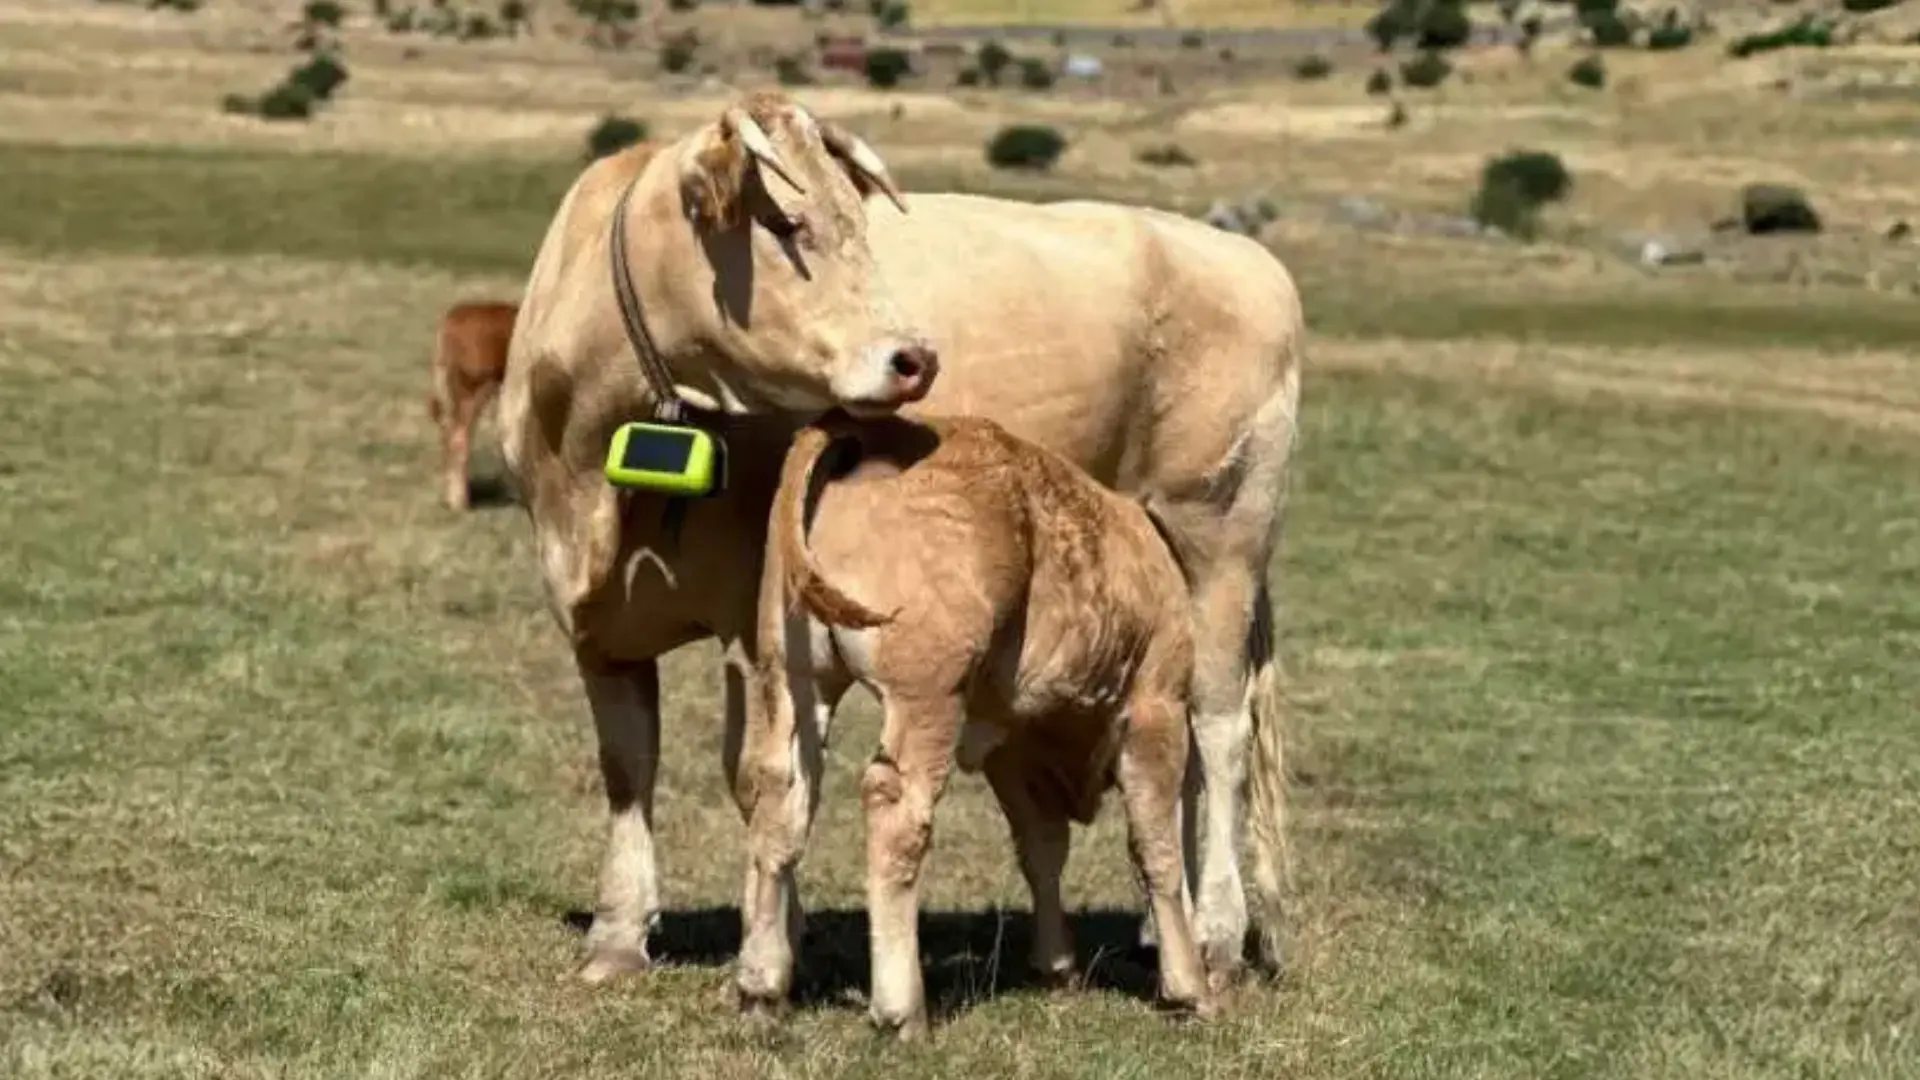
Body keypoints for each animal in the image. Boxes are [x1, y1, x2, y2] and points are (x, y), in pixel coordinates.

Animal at [736, 411, 1214, 1036]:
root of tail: (866, 430)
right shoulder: (1157, 704)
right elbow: (1156, 847)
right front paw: (1189, 987)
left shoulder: (1011, 746)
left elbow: (1042, 848)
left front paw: (1056, 965)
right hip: (927, 692)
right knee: (895, 809)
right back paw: (901, 1009)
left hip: (793, 674)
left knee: (782, 795)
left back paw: (763, 984)